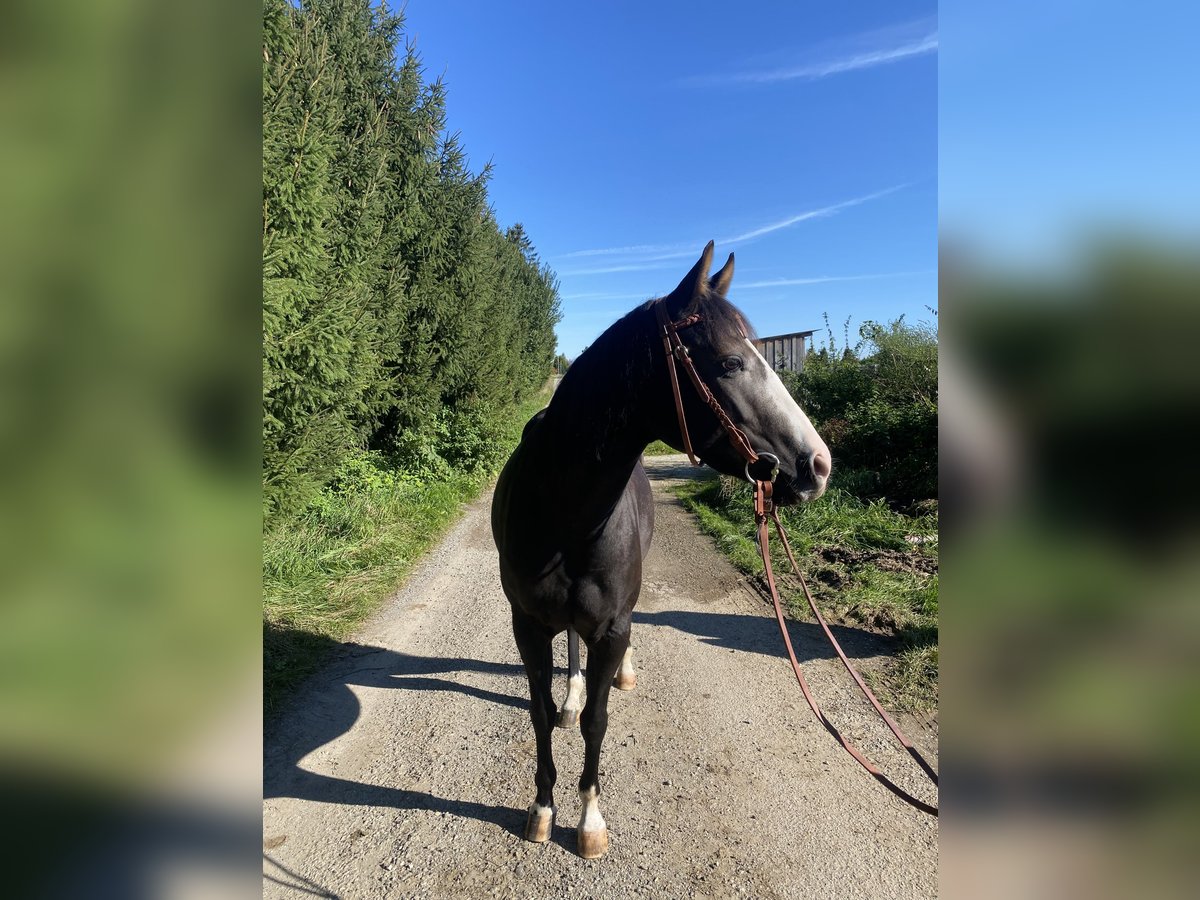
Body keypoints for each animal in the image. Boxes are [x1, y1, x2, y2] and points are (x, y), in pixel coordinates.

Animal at [490, 242, 831, 858]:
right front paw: (543, 807)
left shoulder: (610, 626)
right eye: (729, 363)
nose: (818, 465)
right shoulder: (526, 625)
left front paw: (590, 820)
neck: (563, 511)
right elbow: (540, 713)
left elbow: (596, 721)